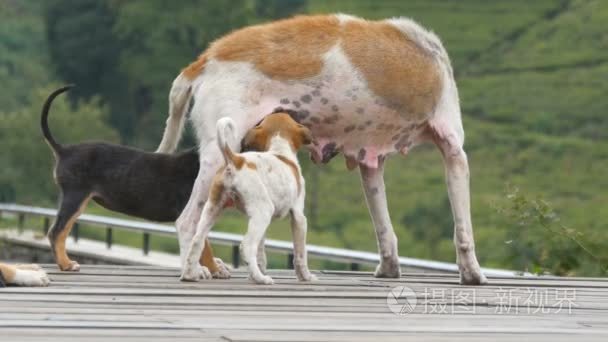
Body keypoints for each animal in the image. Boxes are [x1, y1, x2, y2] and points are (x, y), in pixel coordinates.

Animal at [41, 86, 229, 278]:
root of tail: (64, 150)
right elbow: (204, 247)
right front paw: (214, 269)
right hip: (76, 196)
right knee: (57, 232)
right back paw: (66, 264)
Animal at [180, 113, 316, 284]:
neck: (280, 152)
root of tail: (235, 160)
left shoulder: (259, 224)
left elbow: (260, 253)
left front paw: (254, 273)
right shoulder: (298, 216)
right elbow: (300, 253)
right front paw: (306, 276)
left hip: (213, 208)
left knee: (197, 240)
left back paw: (189, 275)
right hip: (264, 211)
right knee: (247, 245)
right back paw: (261, 279)